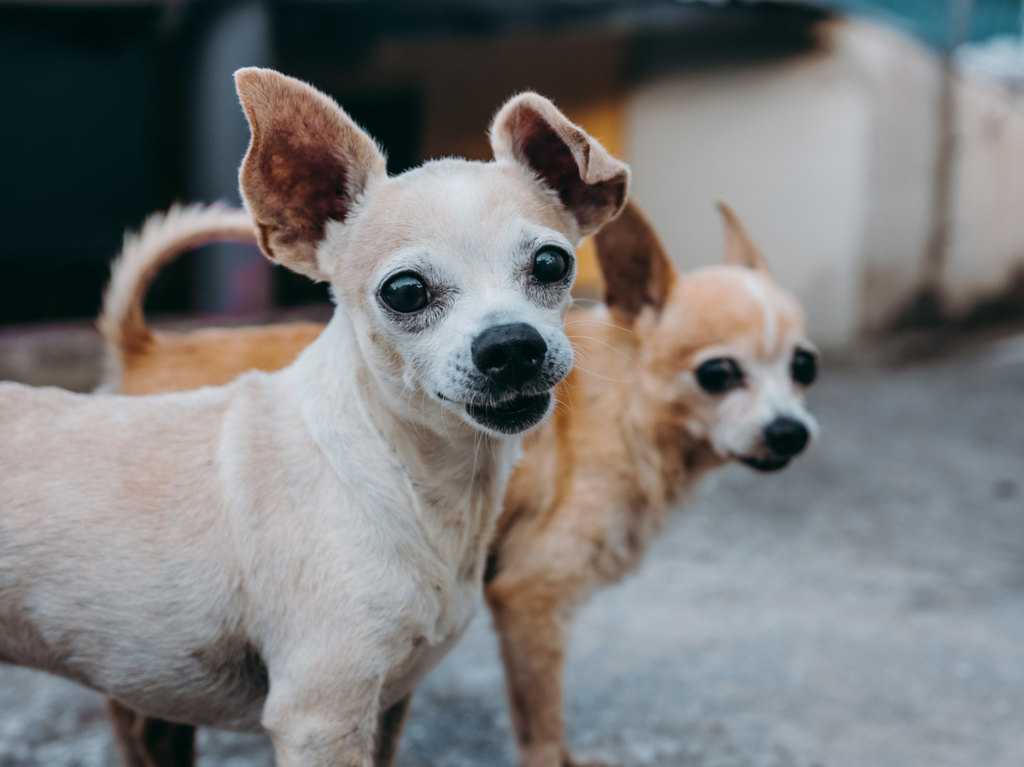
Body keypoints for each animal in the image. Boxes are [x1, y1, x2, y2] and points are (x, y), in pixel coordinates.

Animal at [0, 67, 626, 765]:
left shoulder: (386, 705)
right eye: (404, 291)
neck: (409, 483)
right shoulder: (321, 718)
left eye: (552, 263)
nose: (512, 344)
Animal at [94, 198, 815, 765]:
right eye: (717, 375)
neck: (624, 400)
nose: (791, 432)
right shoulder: (530, 601)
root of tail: (143, 344)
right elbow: (541, 719)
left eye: (804, 367)